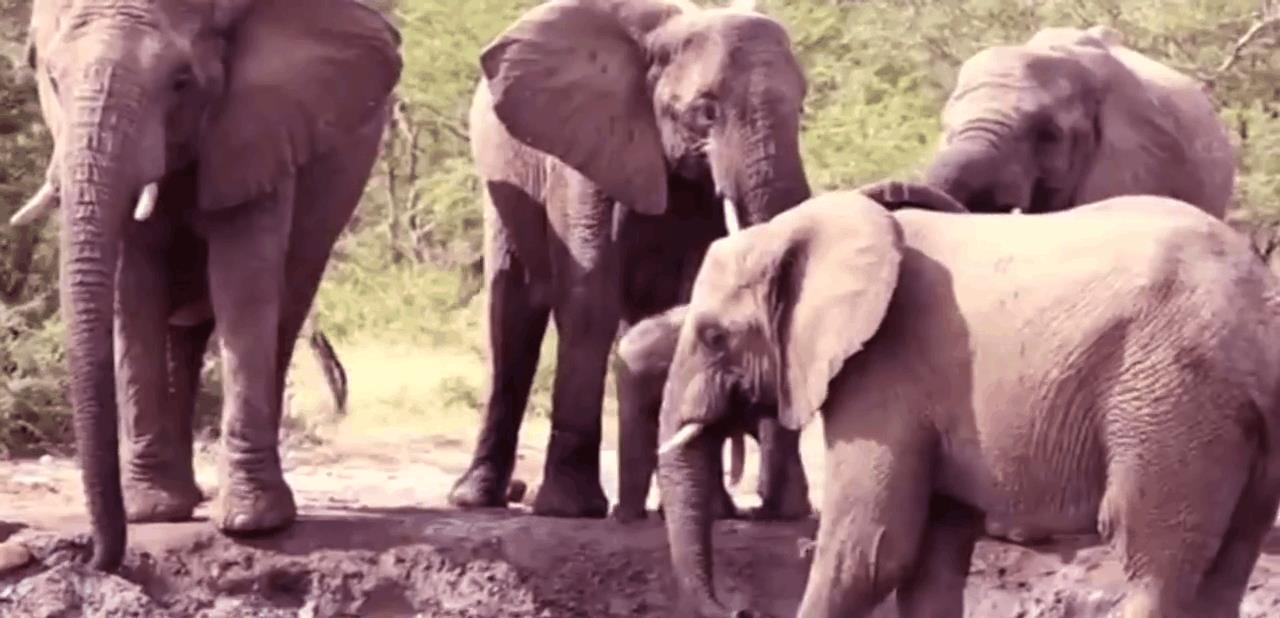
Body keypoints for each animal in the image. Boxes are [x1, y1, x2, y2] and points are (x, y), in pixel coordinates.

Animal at [9, 0, 402, 571]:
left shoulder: (261, 129)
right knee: (185, 336)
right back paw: (182, 498)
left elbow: (244, 280)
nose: (97, 559)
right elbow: (136, 289)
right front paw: (151, 513)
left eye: (180, 82)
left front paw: (253, 524)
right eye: (53, 80)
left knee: (285, 312)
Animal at [448, 0, 813, 521]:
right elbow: (588, 296)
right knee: (513, 310)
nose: (771, 510)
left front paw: (714, 509)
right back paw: (476, 499)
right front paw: (570, 509)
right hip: (503, 175)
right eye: (706, 112)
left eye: (801, 108)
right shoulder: (583, 146)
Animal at [628, 184, 1280, 617]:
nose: (738, 609)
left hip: (1169, 399)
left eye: (714, 337)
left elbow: (870, 552)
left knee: (1150, 558)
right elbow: (930, 564)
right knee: (1226, 566)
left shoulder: (884, 372)